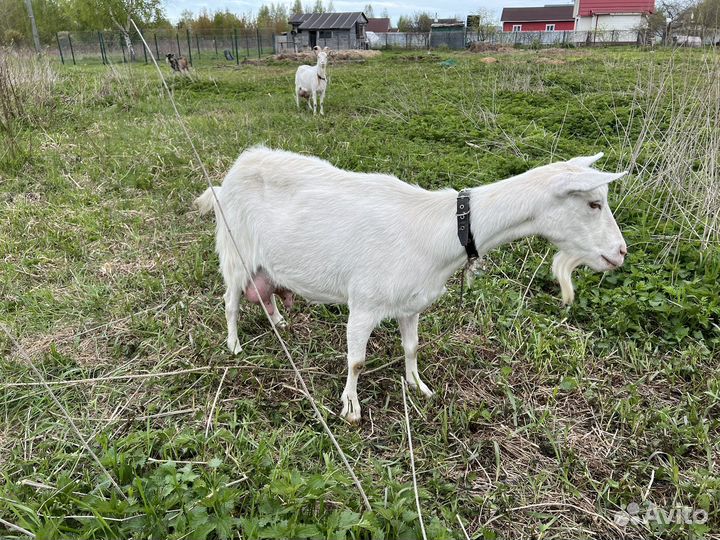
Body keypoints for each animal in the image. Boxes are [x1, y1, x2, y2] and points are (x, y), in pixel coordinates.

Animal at [195, 147, 627, 422]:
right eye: (593, 203)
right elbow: (356, 360)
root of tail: (229, 176)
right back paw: (234, 344)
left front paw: (418, 386)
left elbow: (412, 347)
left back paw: (280, 323)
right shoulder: (363, 303)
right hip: (235, 249)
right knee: (231, 299)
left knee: (264, 292)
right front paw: (350, 408)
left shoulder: (411, 304)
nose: (621, 252)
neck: (439, 230)